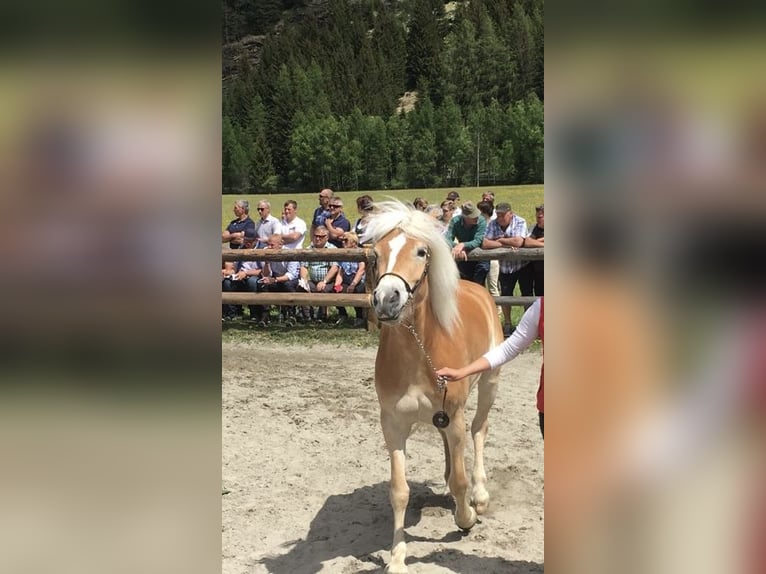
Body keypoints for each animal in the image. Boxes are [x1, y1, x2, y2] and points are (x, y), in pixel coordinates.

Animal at [363, 200, 504, 573]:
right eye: (376, 254)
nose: (387, 299)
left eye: (421, 251)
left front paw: (466, 517)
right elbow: (399, 491)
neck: (419, 352)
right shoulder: (392, 424)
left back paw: (480, 496)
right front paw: (397, 558)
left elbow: (461, 479)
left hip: (489, 384)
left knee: (479, 432)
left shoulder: (454, 416)